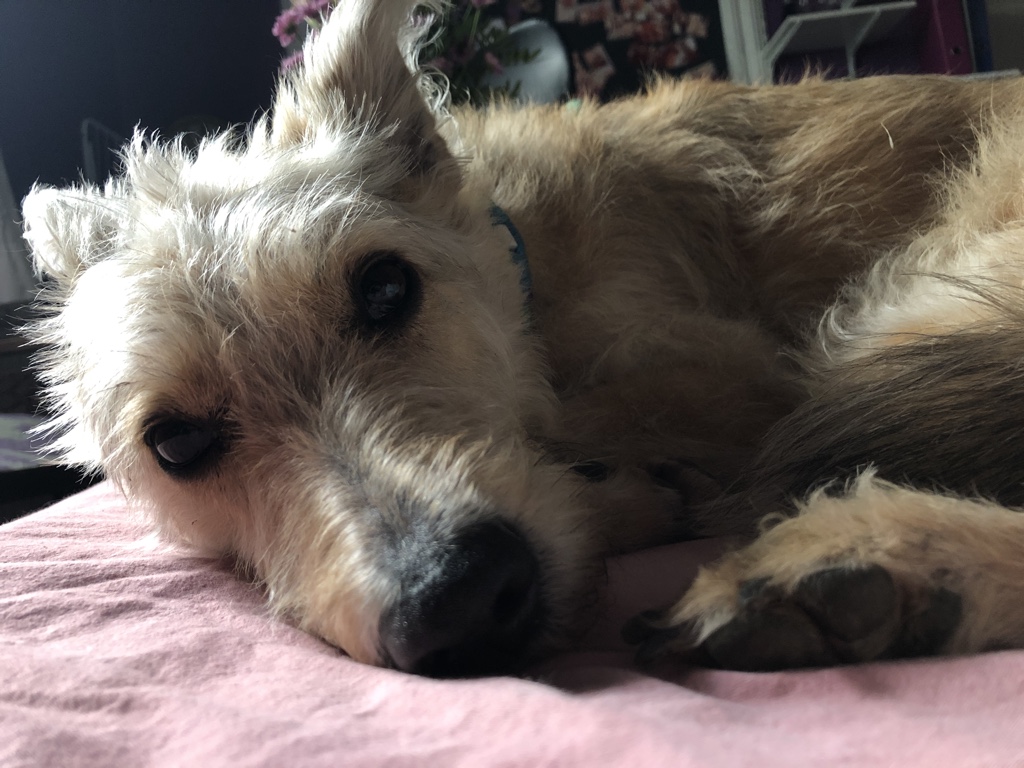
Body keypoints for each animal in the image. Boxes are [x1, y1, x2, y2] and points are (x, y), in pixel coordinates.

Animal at [20, 0, 1024, 677]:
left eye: (386, 287)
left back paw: (890, 554)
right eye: (176, 444)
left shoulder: (747, 376)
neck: (526, 261)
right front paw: (633, 496)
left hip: (896, 317)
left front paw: (634, 492)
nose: (460, 603)